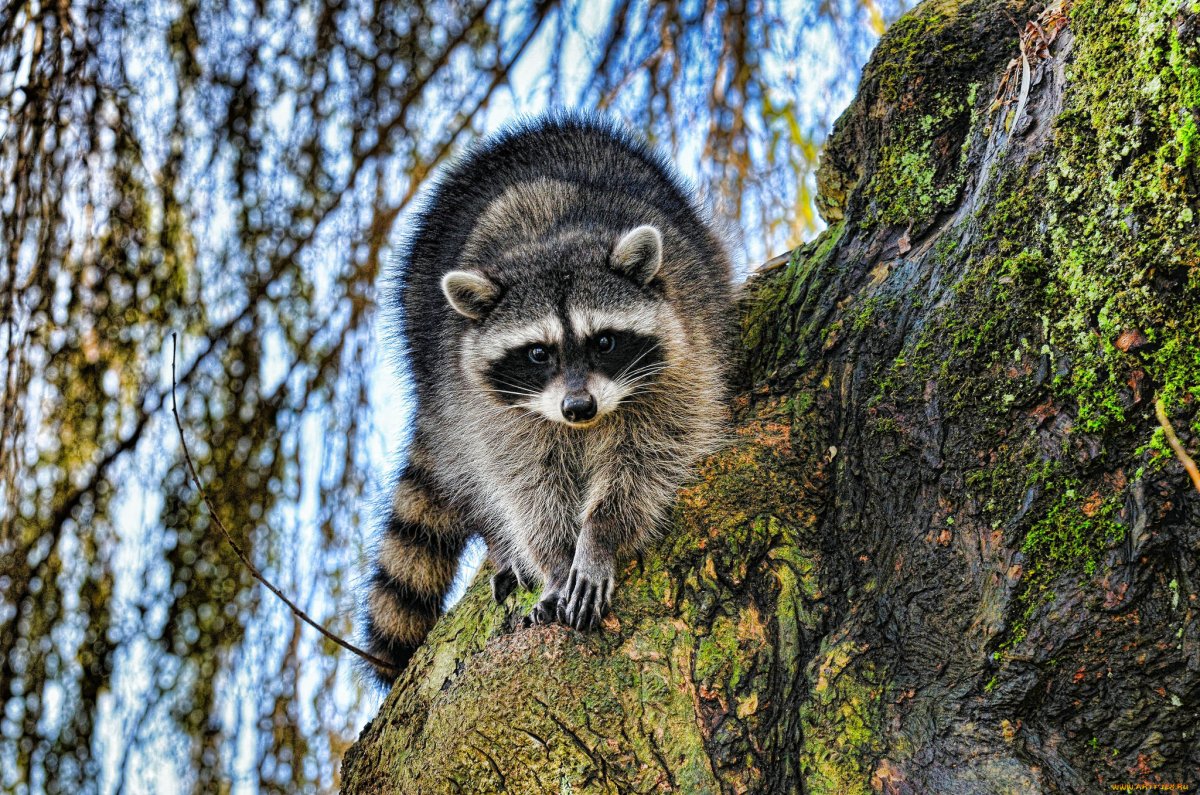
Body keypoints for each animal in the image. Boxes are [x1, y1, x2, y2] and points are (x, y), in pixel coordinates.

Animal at [362, 115, 733, 686]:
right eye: (538, 353)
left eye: (604, 341)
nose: (578, 409)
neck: (551, 239)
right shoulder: (485, 405)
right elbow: (522, 482)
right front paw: (555, 558)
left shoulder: (684, 351)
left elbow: (653, 450)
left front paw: (601, 531)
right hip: (431, 362)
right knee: (469, 469)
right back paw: (505, 548)